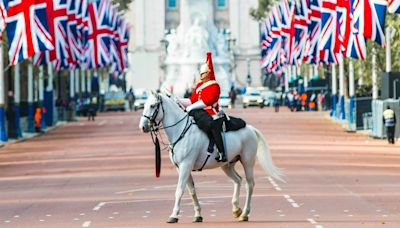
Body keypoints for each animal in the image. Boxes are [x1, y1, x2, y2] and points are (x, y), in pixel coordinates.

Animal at [139, 91, 282, 224]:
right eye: (144, 105)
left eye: (152, 105)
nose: (143, 127)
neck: (181, 131)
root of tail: (250, 128)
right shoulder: (181, 168)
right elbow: (192, 191)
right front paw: (198, 215)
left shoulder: (186, 165)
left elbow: (179, 190)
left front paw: (174, 215)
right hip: (227, 165)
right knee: (238, 180)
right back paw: (236, 209)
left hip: (248, 162)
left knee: (250, 184)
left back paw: (245, 214)